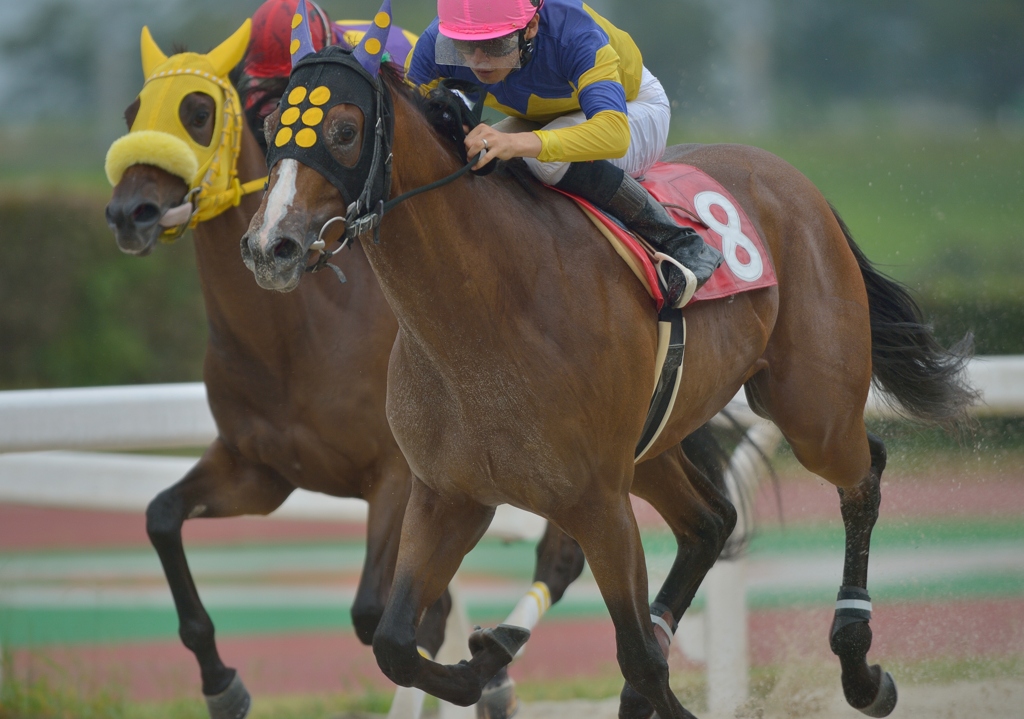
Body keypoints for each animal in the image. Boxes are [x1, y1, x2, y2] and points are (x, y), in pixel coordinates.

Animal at [102, 21, 743, 719]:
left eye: (197, 112)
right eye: (133, 111)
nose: (130, 212)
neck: (295, 337)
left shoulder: (395, 476)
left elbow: (376, 614)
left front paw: (477, 665)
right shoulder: (259, 469)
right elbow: (161, 516)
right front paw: (222, 684)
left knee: (565, 556)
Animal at [240, 34, 976, 719]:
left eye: (343, 130)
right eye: (274, 126)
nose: (268, 246)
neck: (485, 315)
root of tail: (792, 179)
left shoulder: (597, 503)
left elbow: (641, 657)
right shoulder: (447, 494)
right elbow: (395, 642)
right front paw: (483, 667)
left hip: (810, 410)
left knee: (862, 471)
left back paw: (861, 668)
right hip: (651, 444)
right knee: (711, 520)